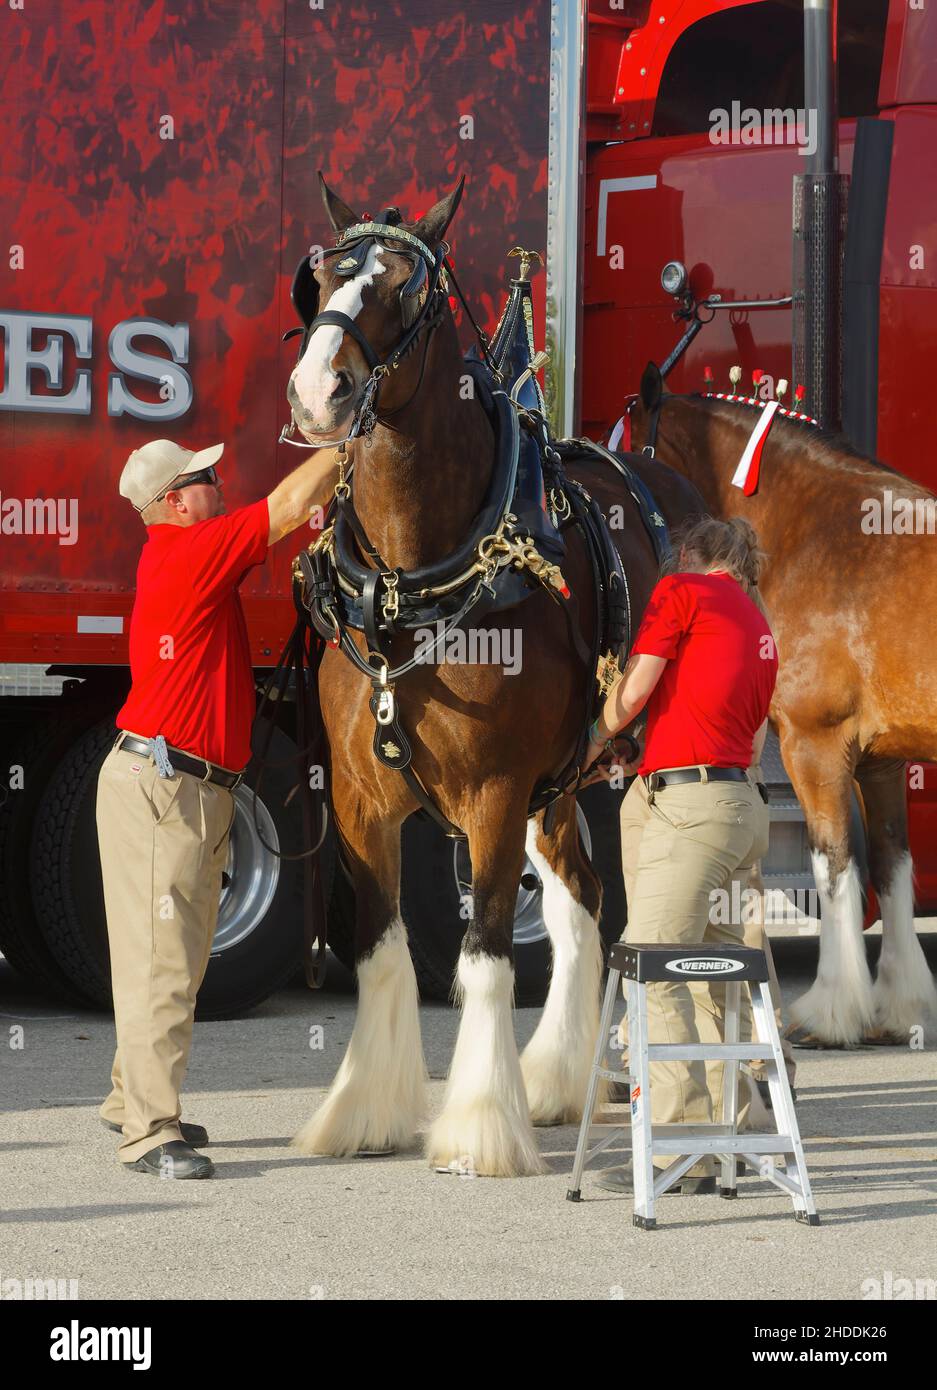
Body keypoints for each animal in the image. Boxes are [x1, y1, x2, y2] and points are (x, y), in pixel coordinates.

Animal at [284, 176, 700, 1173]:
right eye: (319, 278)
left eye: (406, 289)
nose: (318, 391)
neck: (411, 583)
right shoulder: (360, 797)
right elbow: (381, 948)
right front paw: (365, 1110)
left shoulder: (493, 791)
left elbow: (481, 956)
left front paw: (476, 1124)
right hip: (563, 785)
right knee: (582, 902)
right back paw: (555, 1081)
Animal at [622, 364, 934, 1045]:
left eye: (628, 444)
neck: (815, 529)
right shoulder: (882, 761)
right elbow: (891, 865)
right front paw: (900, 1008)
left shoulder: (814, 744)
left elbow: (834, 865)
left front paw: (830, 1011)